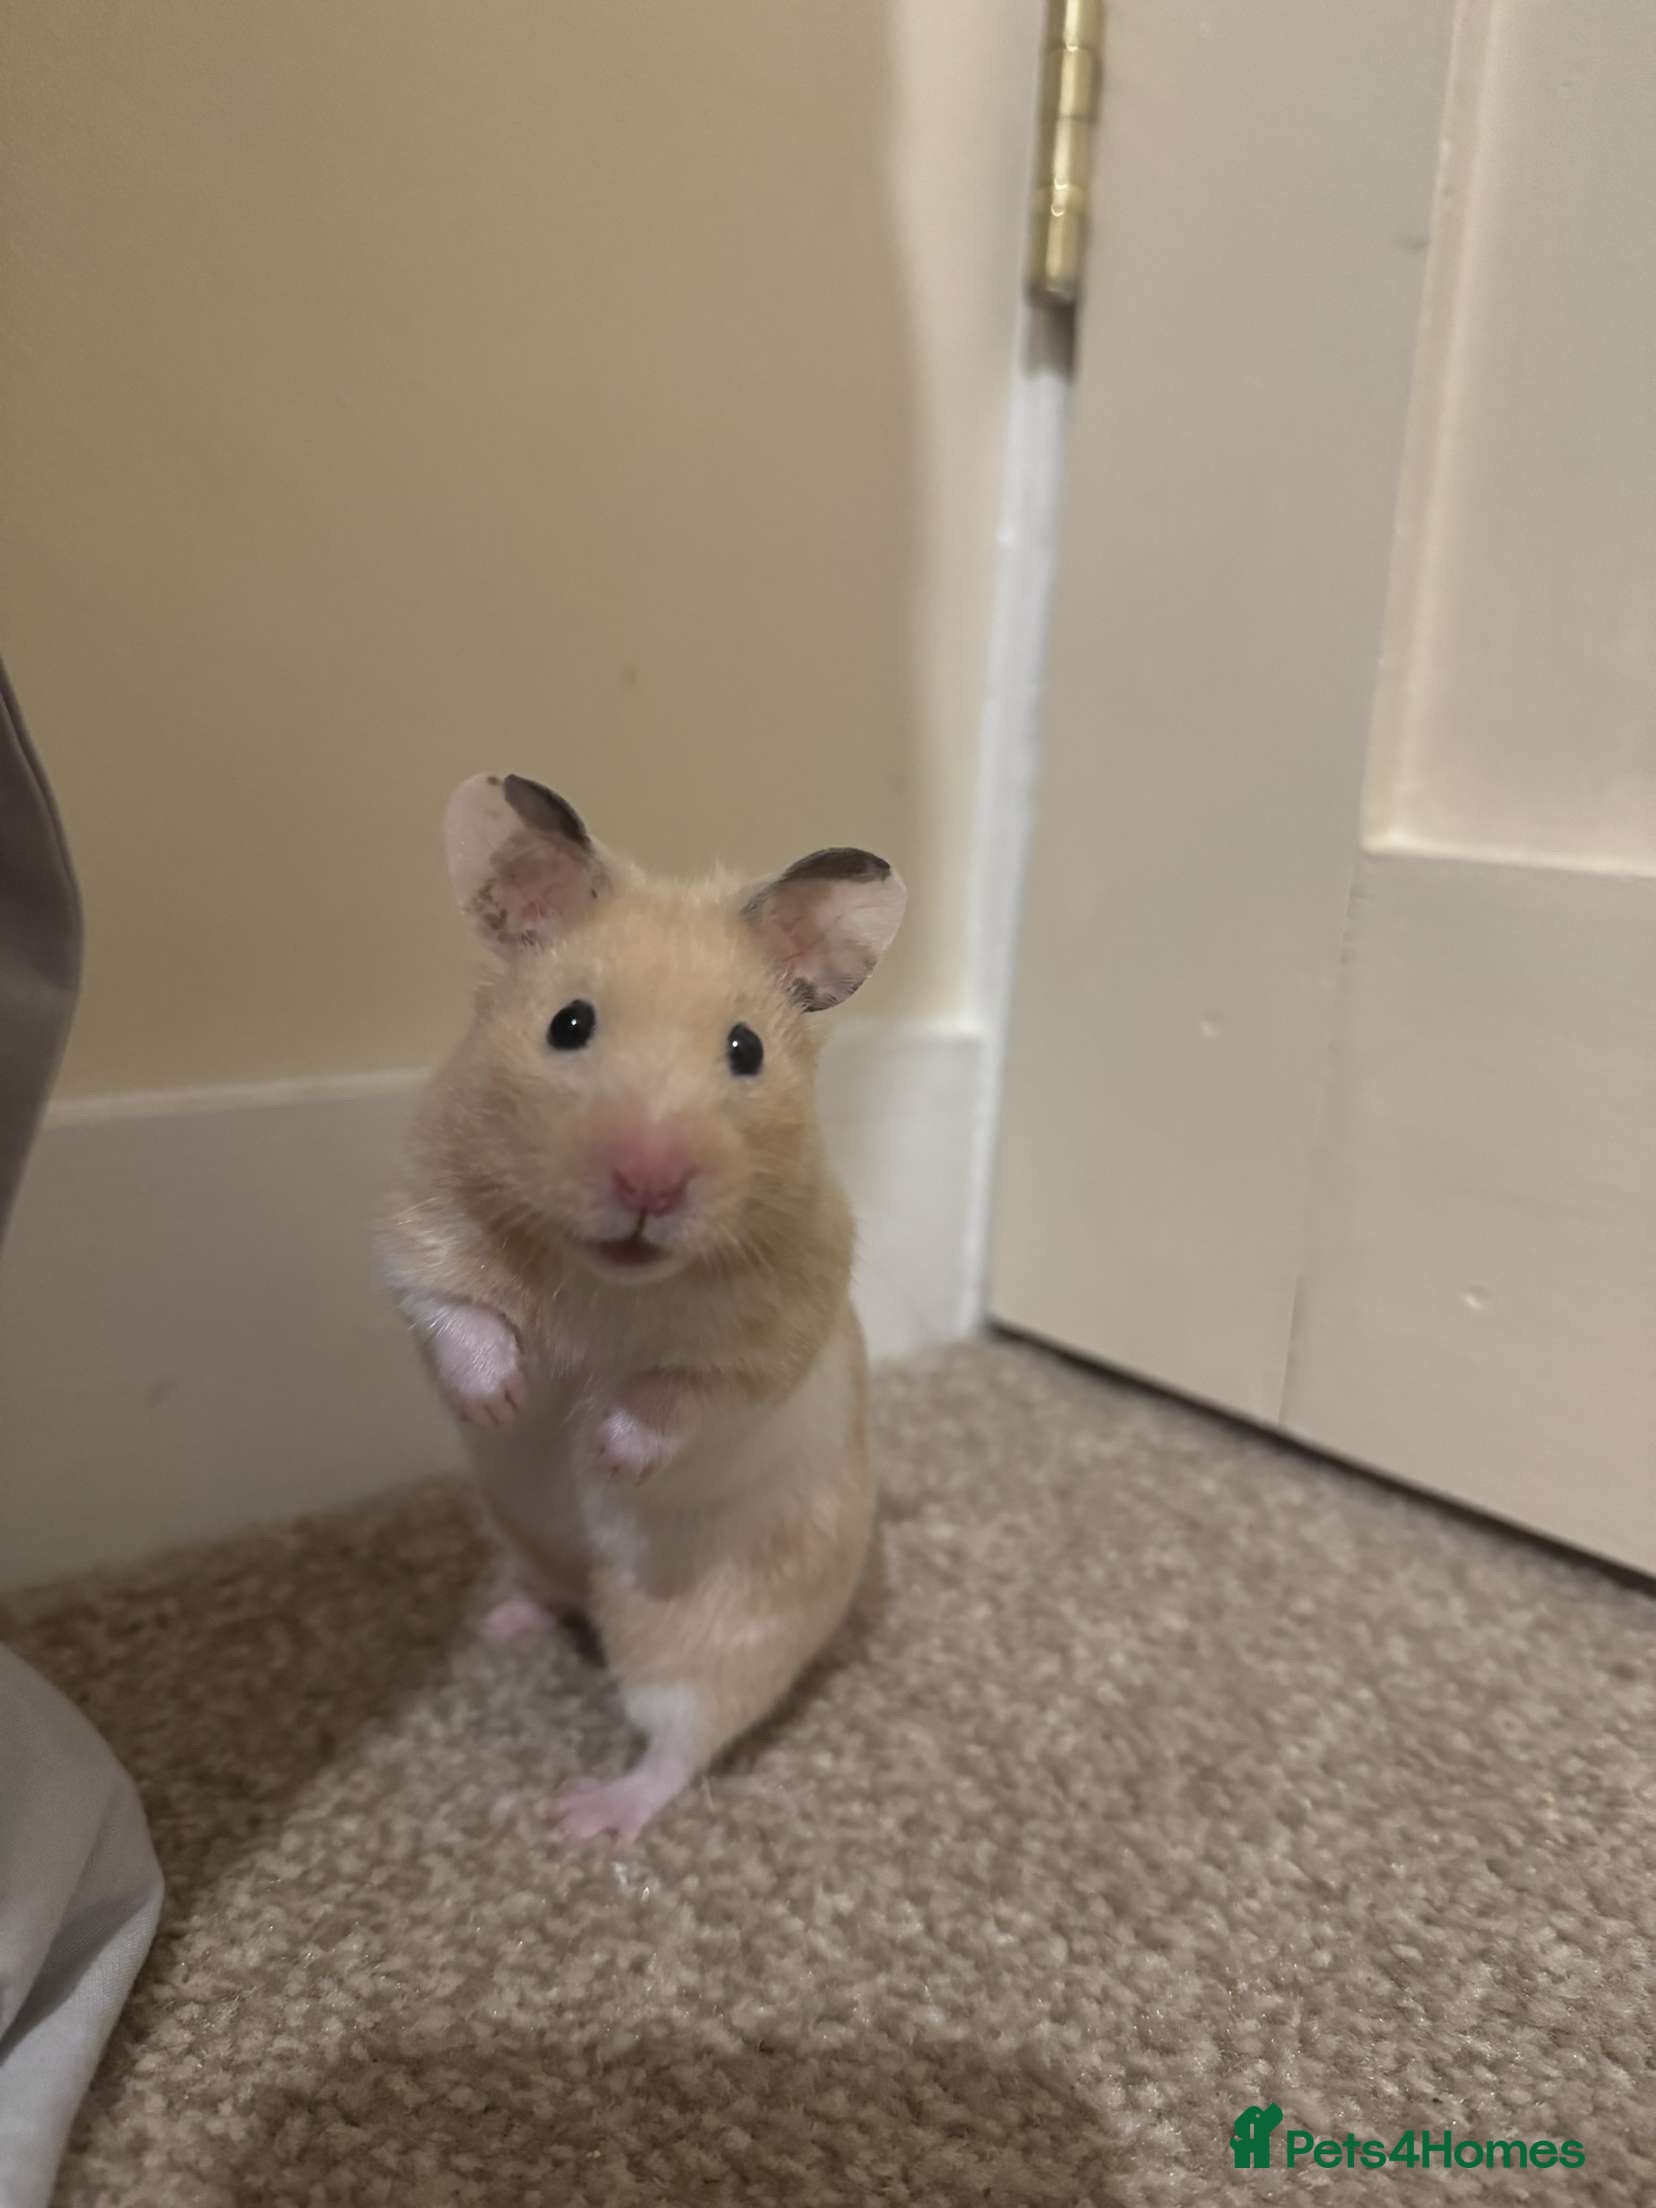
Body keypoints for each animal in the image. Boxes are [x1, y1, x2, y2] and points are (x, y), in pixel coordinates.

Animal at [380, 773, 906, 1844]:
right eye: (568, 1024)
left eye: (746, 1049)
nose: (649, 1182)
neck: (606, 1277)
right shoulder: (423, 1226)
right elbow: (463, 1319)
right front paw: (504, 1402)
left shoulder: (775, 1331)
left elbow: (673, 1394)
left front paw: (604, 1450)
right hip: (524, 1533)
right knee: (557, 1601)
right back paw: (506, 1623)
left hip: (706, 1639)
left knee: (682, 1742)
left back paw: (586, 1817)